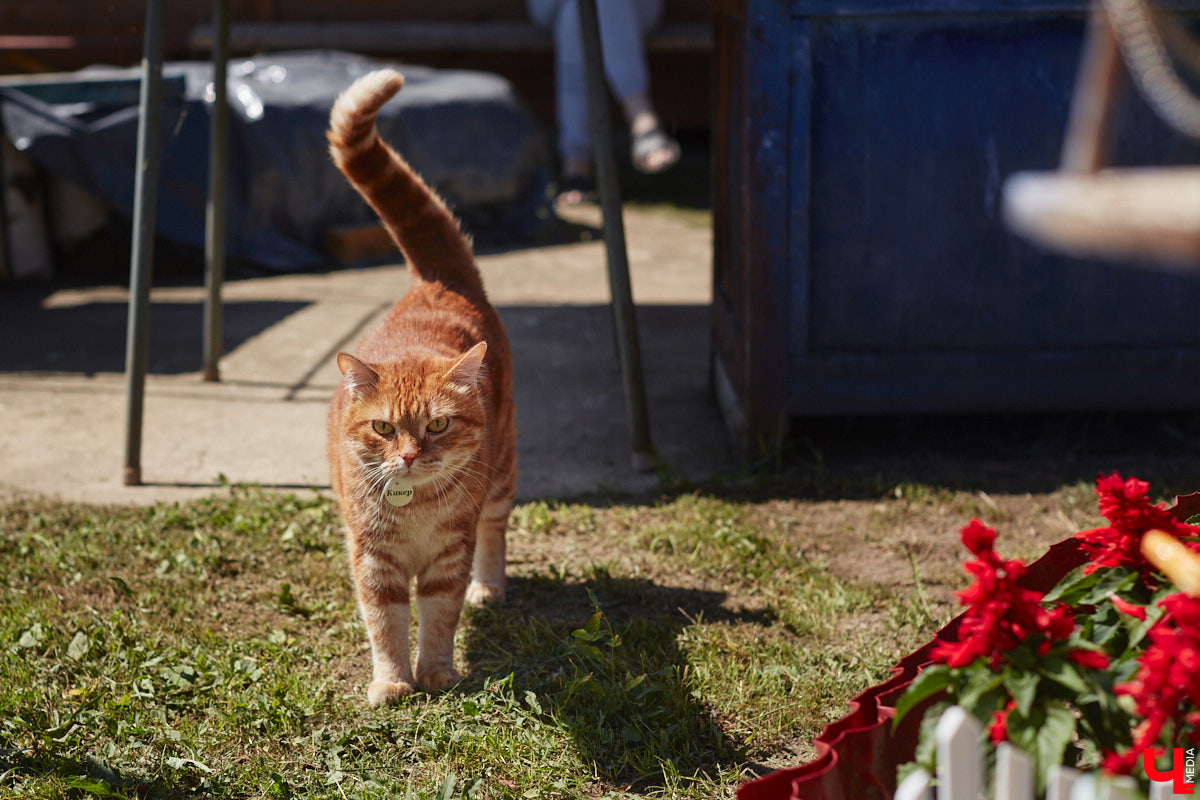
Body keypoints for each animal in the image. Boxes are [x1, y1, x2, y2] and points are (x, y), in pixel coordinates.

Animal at [328, 70, 516, 705]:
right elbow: (385, 625)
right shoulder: (374, 561)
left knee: (495, 532)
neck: (415, 511)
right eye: (385, 428)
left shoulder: (448, 556)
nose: (409, 457)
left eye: (437, 424)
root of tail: (437, 281)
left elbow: (438, 617)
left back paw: (490, 588)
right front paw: (392, 682)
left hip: (502, 474)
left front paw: (435, 672)